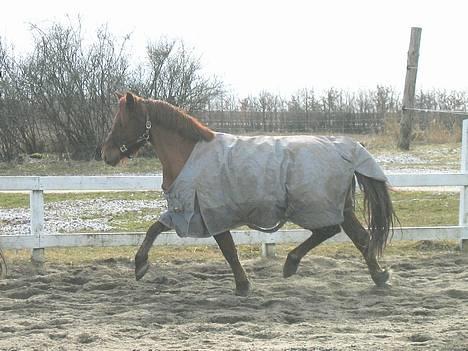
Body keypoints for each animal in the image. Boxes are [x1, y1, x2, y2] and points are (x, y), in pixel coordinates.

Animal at [98, 91, 394, 296]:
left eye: (121, 122)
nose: (106, 154)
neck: (189, 153)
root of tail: (346, 147)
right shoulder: (184, 211)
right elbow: (154, 229)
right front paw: (140, 265)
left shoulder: (211, 214)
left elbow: (228, 250)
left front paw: (242, 285)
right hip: (340, 207)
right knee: (360, 237)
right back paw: (379, 276)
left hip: (314, 206)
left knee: (329, 230)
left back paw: (291, 264)